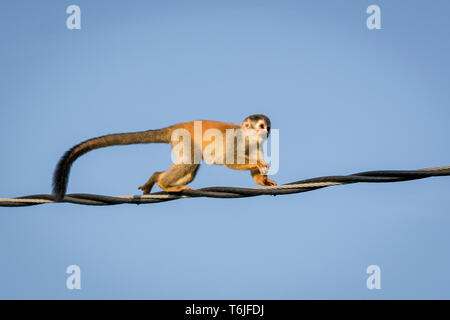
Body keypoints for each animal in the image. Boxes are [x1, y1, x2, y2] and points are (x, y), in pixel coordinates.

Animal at [54, 114, 276, 200]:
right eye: (261, 126)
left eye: (267, 127)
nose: (267, 132)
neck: (247, 136)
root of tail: (176, 127)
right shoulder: (235, 138)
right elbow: (226, 160)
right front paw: (257, 164)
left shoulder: (256, 143)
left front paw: (262, 180)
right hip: (183, 138)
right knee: (190, 160)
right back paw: (163, 183)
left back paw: (155, 178)